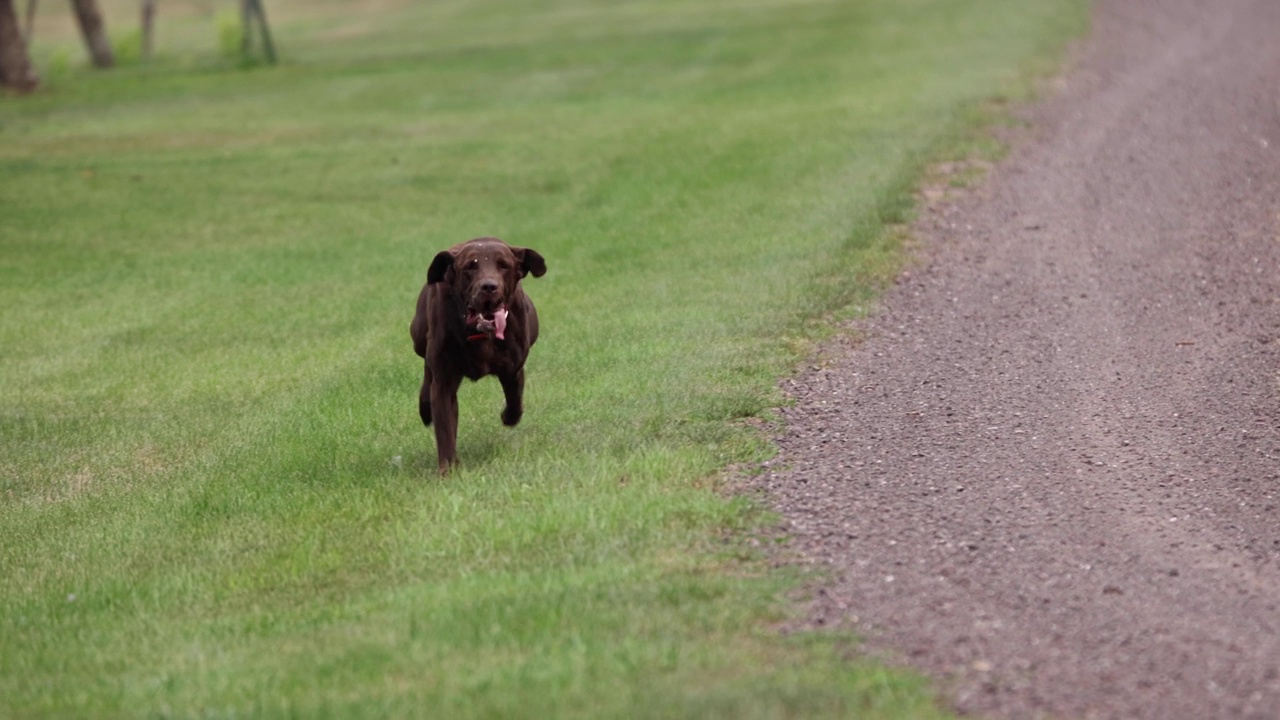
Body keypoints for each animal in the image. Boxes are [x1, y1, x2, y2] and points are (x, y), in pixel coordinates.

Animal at [409, 235, 545, 471]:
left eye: (504, 265)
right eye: (470, 266)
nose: (489, 286)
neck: (481, 333)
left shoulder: (513, 368)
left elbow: (515, 401)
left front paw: (507, 416)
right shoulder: (444, 381)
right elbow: (444, 427)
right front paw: (448, 469)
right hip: (418, 336)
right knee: (427, 368)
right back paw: (425, 407)